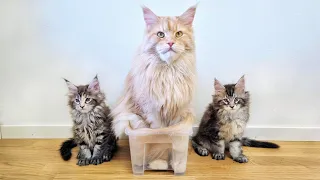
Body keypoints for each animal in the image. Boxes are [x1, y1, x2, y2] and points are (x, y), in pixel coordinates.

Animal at [112, 4, 198, 172]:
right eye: (160, 34)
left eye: (178, 34)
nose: (170, 43)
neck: (169, 71)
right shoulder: (151, 112)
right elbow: (159, 139)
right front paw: (160, 162)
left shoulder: (178, 113)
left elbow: (173, 143)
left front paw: (175, 164)